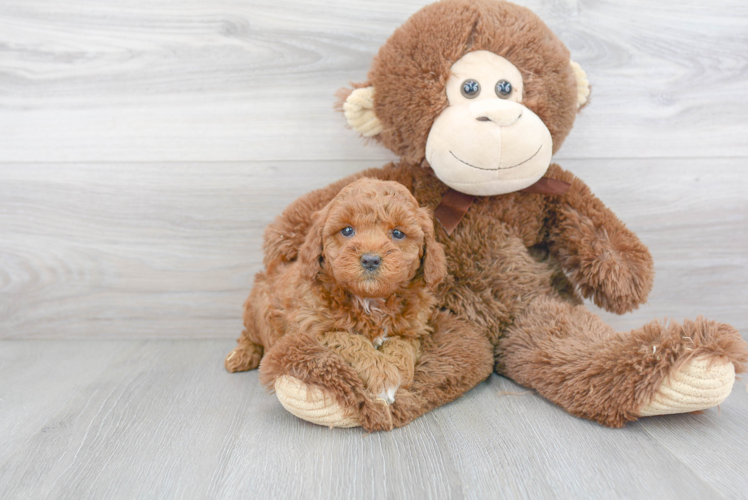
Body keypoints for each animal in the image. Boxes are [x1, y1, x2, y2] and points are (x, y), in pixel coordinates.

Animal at [225, 178, 448, 404]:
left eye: (398, 233)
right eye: (347, 230)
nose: (370, 260)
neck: (370, 300)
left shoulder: (412, 330)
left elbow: (402, 346)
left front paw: (399, 372)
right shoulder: (310, 330)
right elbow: (349, 340)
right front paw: (383, 376)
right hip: (255, 307)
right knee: (249, 335)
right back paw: (240, 356)